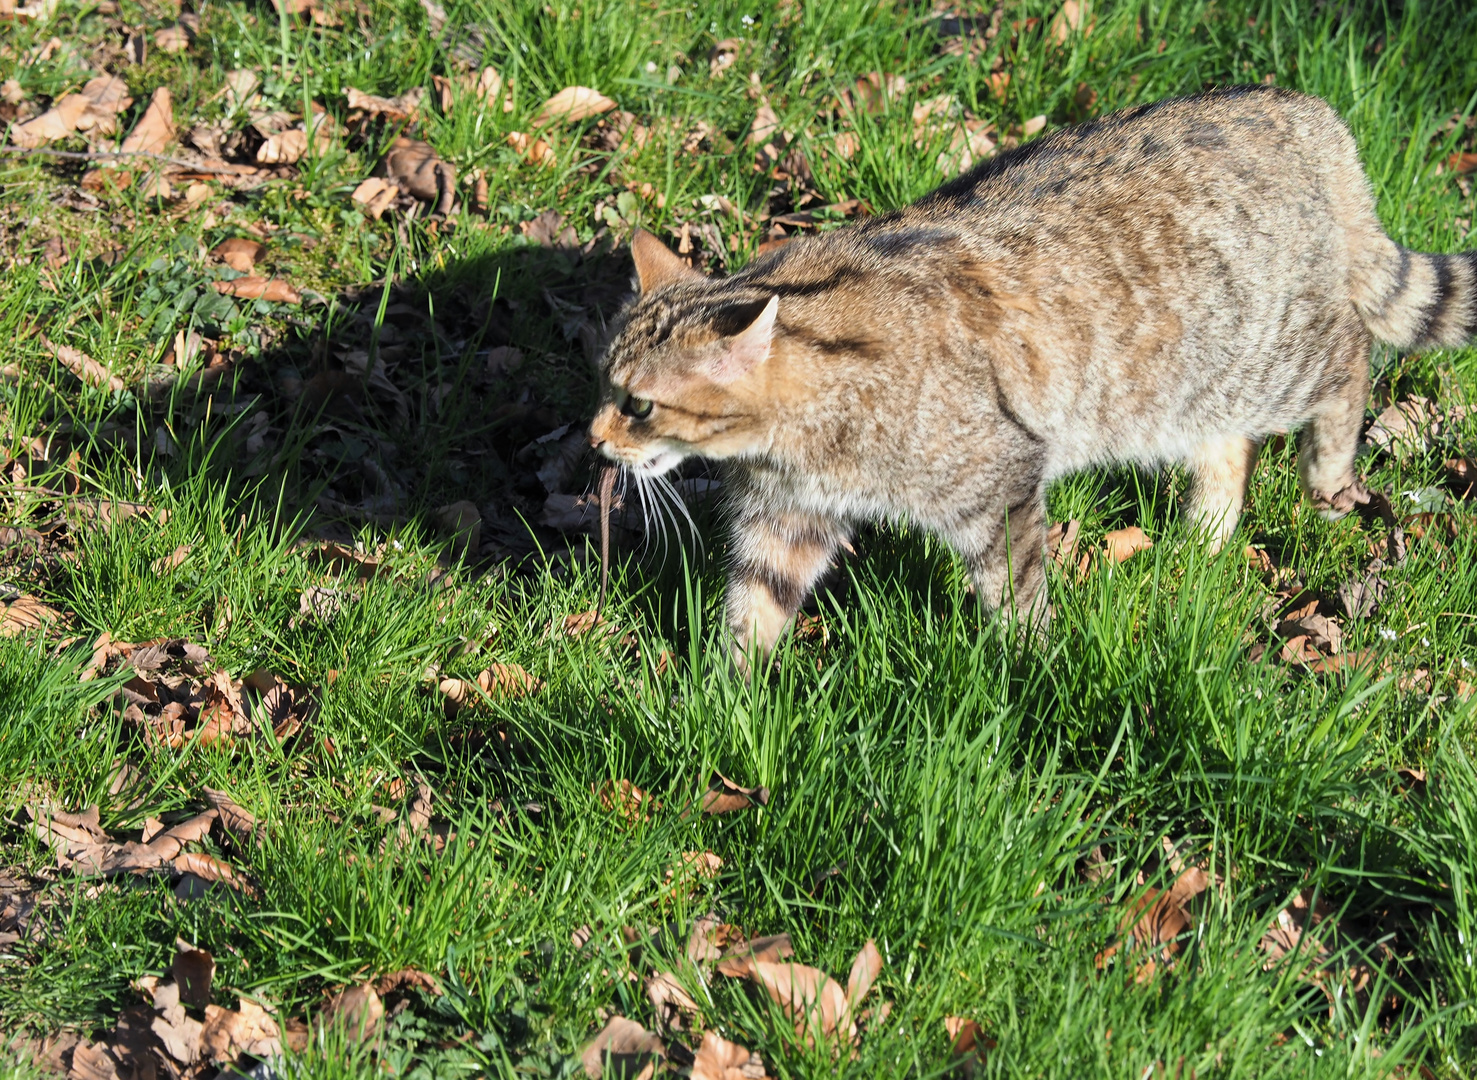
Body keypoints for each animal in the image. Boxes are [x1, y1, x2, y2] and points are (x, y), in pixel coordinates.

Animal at [584, 86, 1465, 667]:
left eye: (639, 405)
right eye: (603, 384)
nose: (594, 443)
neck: (787, 439)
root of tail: (1304, 111)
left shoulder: (996, 482)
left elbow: (1016, 598)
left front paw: (1028, 668)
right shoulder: (787, 515)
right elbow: (753, 608)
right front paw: (725, 699)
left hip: (1273, 352)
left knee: (1350, 355)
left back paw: (1326, 472)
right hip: (1191, 385)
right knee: (1227, 448)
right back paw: (1203, 535)